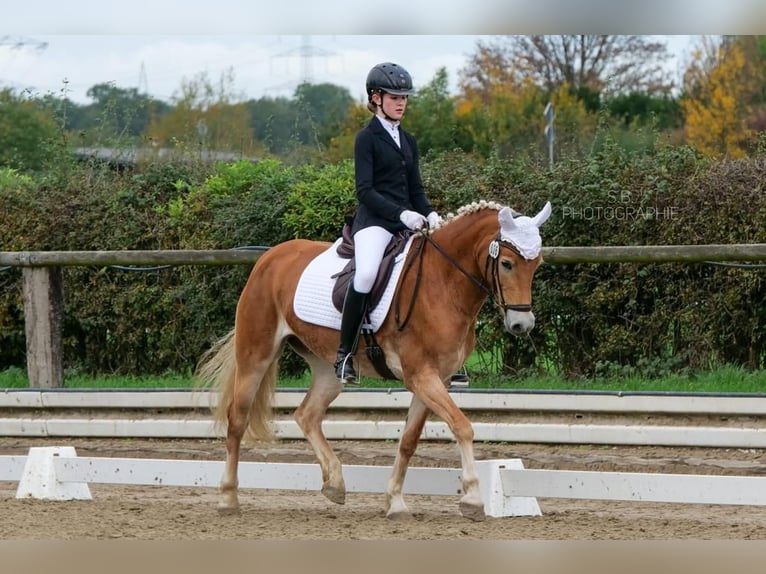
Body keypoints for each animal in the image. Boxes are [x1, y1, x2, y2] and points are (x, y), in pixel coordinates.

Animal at [196, 200, 552, 524]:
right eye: (506, 263)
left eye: (537, 265)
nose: (522, 325)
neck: (443, 282)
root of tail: (269, 257)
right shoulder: (421, 376)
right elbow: (462, 426)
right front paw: (473, 499)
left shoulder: (435, 379)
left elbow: (409, 441)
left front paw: (395, 502)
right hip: (255, 354)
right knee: (237, 419)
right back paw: (228, 498)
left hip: (328, 368)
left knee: (307, 415)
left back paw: (335, 484)